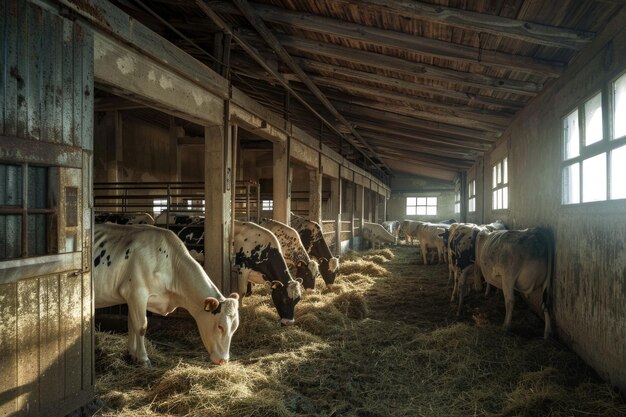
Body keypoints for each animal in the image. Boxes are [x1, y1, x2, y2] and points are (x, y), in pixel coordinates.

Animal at [92, 224, 239, 364]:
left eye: (235, 328)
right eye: (220, 326)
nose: (224, 360)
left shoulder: (132, 298)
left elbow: (132, 324)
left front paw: (132, 354)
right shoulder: (136, 293)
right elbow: (141, 326)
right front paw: (144, 359)